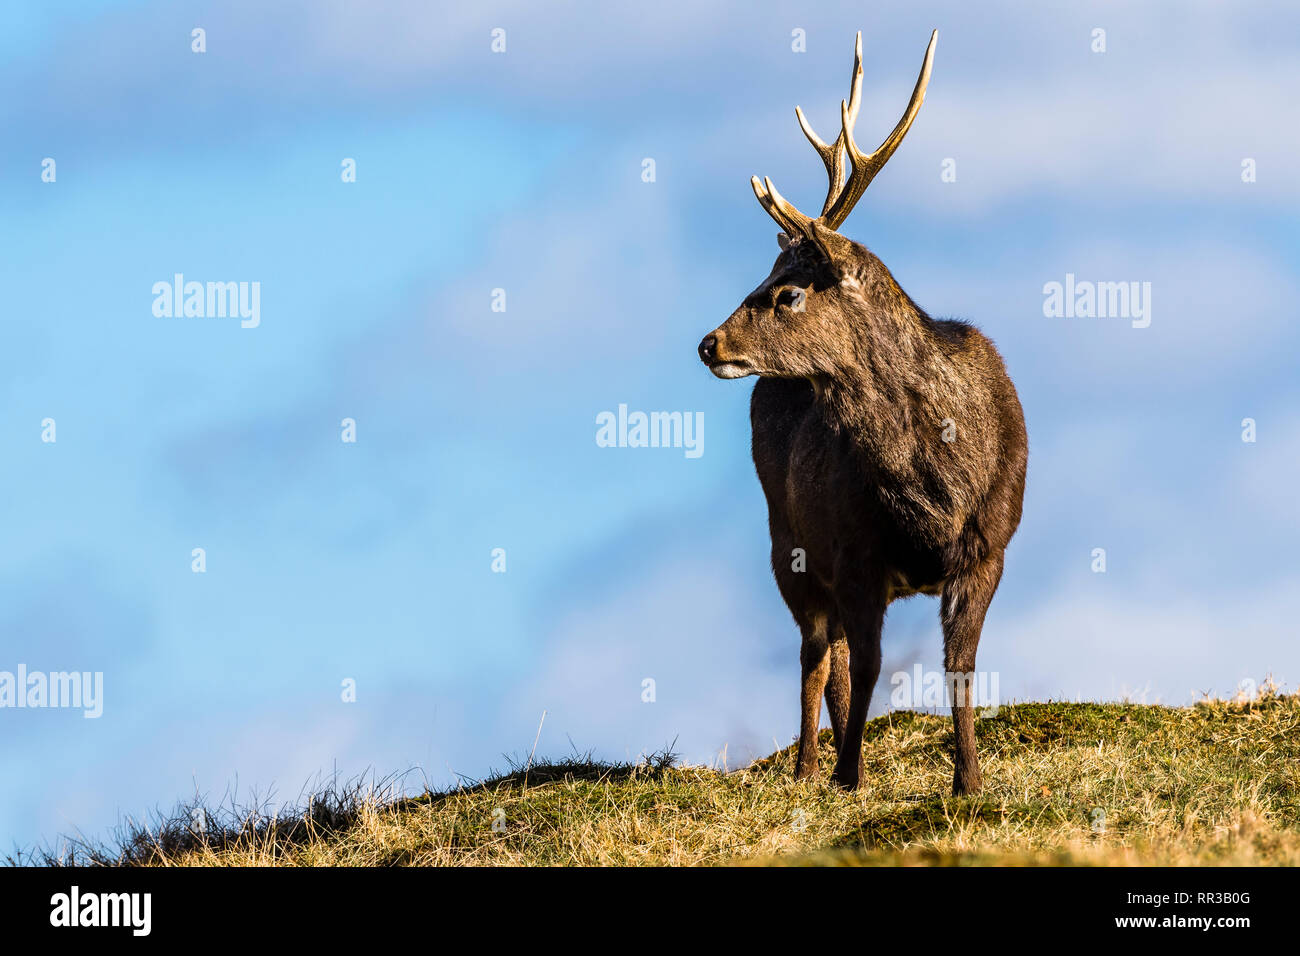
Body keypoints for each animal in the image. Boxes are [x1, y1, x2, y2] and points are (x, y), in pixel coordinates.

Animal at [697, 30, 1027, 795]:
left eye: (788, 292)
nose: (708, 343)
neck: (939, 483)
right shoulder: (855, 547)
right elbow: (869, 664)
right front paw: (848, 774)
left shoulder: (989, 547)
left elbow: (960, 668)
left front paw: (968, 782)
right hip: (785, 538)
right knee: (818, 653)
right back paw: (810, 766)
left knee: (836, 651)